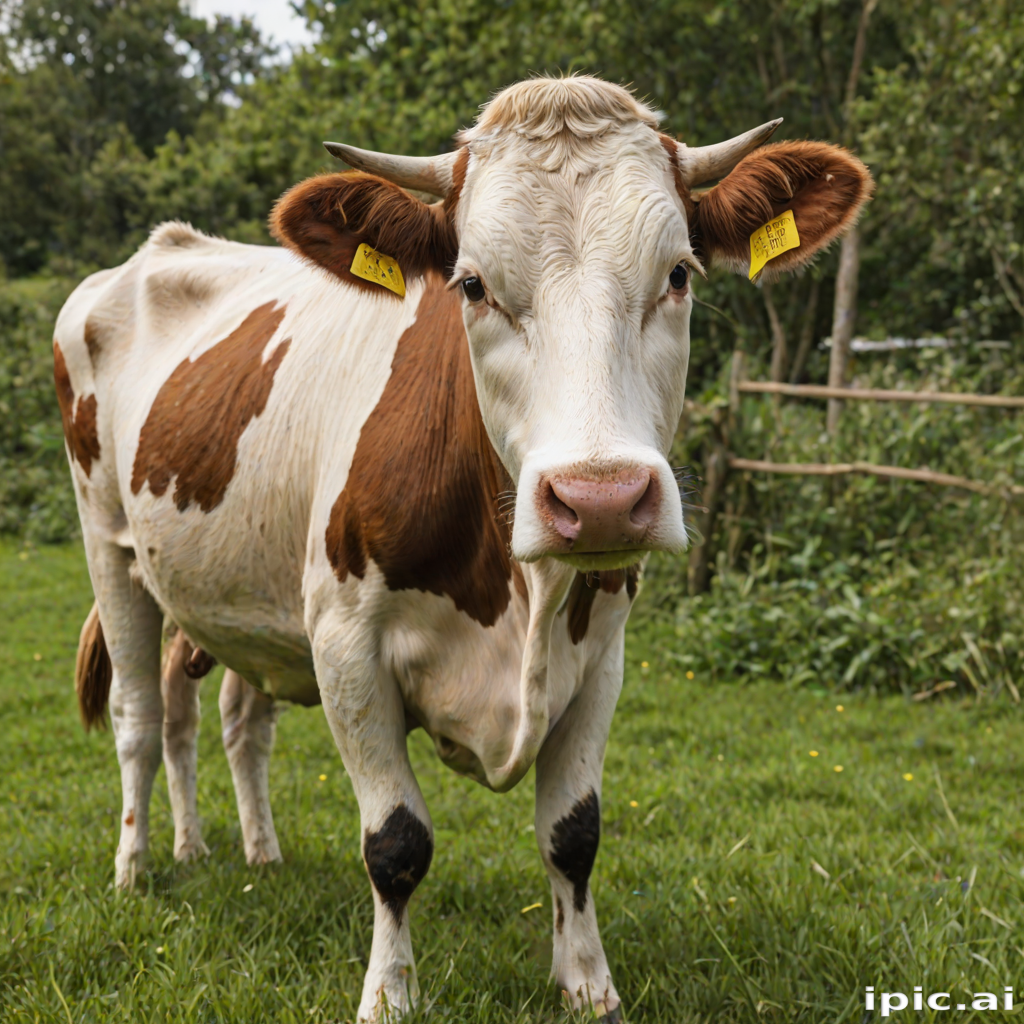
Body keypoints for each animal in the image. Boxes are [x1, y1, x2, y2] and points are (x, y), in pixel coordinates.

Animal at [55, 76, 871, 1021]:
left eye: (679, 273)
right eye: (473, 285)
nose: (598, 500)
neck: (516, 596)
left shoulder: (603, 654)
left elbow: (574, 832)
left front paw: (586, 982)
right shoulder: (344, 644)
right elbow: (395, 841)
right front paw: (389, 994)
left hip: (236, 592)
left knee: (223, 718)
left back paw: (240, 850)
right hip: (111, 548)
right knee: (140, 718)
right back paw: (138, 867)